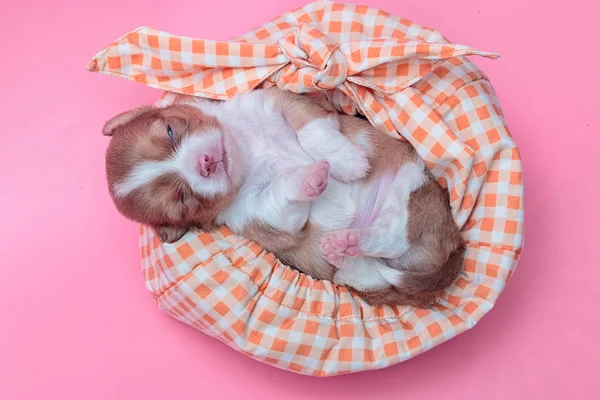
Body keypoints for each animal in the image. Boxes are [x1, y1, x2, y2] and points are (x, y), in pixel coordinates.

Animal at [103, 88, 464, 306]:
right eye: (183, 199)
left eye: (170, 131)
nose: (204, 163)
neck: (248, 153)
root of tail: (454, 245)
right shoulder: (259, 214)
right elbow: (283, 196)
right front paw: (311, 176)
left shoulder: (286, 102)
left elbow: (313, 133)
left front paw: (346, 162)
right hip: (369, 271)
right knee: (384, 247)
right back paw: (345, 246)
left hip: (411, 182)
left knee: (395, 229)